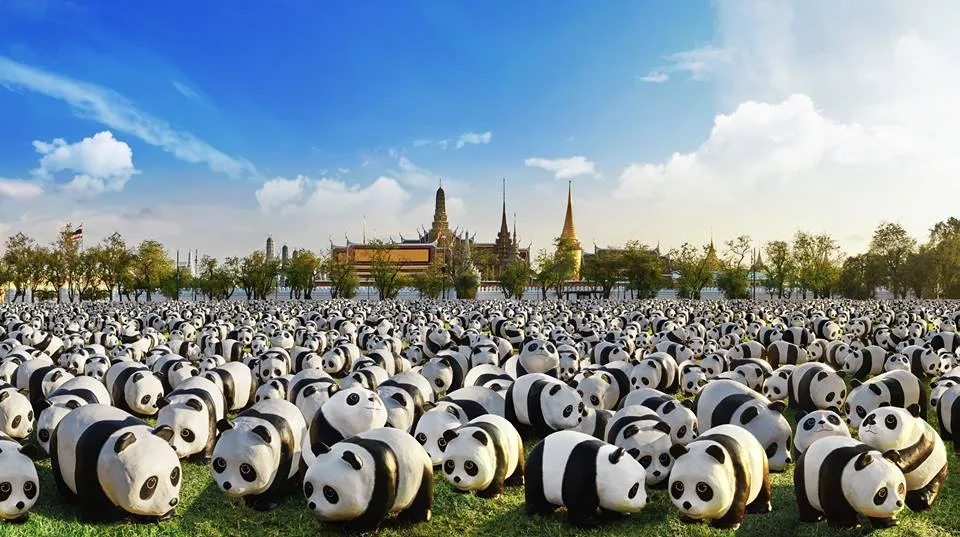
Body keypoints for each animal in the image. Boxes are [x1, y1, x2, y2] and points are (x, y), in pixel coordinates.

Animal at [50, 404, 181, 521]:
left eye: (174, 474)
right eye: (151, 483)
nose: (172, 500)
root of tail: (68, 415)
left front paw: (162, 515)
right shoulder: (90, 460)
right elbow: (94, 500)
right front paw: (117, 517)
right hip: (56, 449)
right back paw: (68, 498)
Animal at [302, 427, 433, 532]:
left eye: (329, 492)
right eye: (309, 487)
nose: (313, 505)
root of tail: (419, 446)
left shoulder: (382, 474)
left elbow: (377, 507)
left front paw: (354, 527)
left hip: (420, 470)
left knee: (422, 492)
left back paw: (414, 517)